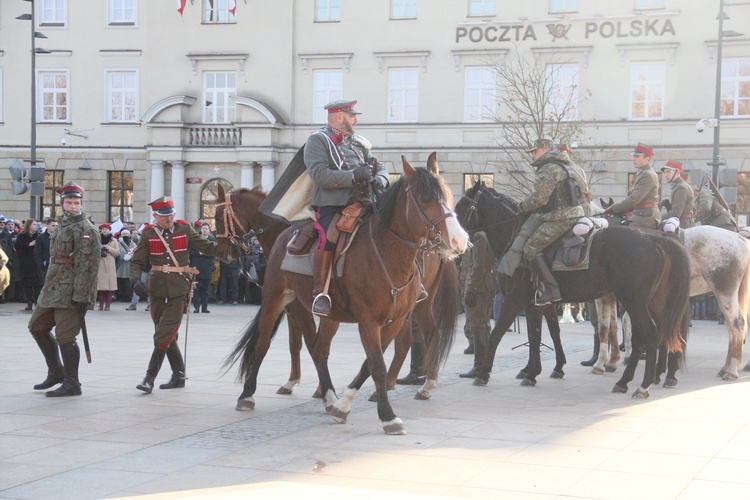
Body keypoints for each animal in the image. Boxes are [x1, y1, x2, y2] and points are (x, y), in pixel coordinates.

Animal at [220, 153, 468, 434]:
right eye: (425, 198)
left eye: (447, 194)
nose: (459, 240)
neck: (387, 253)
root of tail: (287, 234)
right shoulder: (366, 321)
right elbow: (374, 363)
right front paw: (386, 415)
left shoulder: (391, 320)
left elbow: (369, 362)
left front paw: (343, 403)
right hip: (277, 297)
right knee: (265, 343)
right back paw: (248, 395)